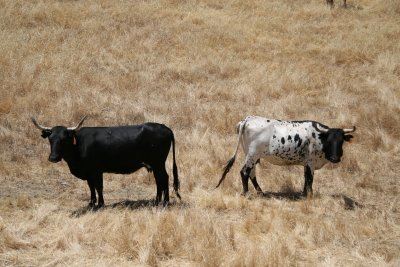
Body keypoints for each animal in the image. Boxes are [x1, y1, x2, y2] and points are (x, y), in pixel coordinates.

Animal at [31, 116, 181, 208]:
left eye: (64, 139)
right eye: (50, 139)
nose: (53, 158)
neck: (79, 144)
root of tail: (166, 128)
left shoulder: (96, 170)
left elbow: (99, 187)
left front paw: (100, 204)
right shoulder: (89, 173)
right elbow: (91, 187)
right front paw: (92, 203)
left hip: (158, 163)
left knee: (164, 179)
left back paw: (165, 202)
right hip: (155, 165)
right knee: (160, 180)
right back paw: (157, 201)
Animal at [216, 116, 356, 198]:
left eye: (341, 141)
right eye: (330, 140)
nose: (335, 158)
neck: (318, 138)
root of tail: (247, 119)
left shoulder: (306, 163)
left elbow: (305, 178)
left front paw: (304, 194)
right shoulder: (311, 162)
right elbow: (310, 179)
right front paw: (310, 195)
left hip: (251, 156)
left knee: (252, 173)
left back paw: (261, 192)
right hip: (252, 155)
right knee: (244, 172)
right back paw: (246, 193)